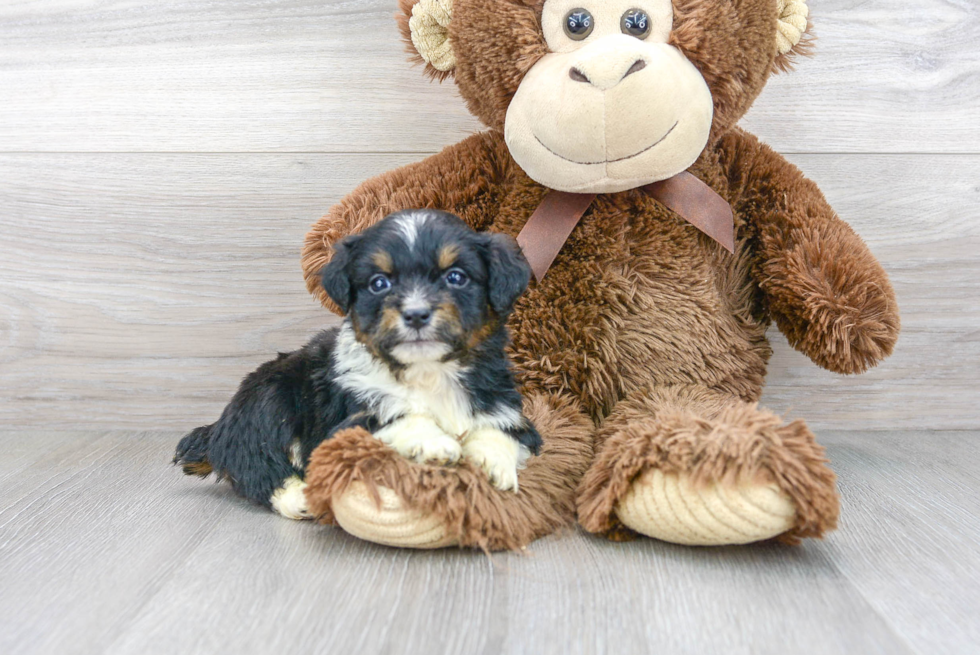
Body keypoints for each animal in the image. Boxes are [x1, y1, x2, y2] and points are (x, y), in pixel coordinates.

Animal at [176, 209, 544, 516]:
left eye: (456, 277)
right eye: (380, 283)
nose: (416, 314)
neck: (429, 371)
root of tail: (219, 428)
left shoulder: (505, 407)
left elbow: (501, 431)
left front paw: (492, 464)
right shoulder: (344, 426)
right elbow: (398, 417)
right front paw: (436, 442)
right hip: (270, 402)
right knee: (260, 467)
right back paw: (299, 497)